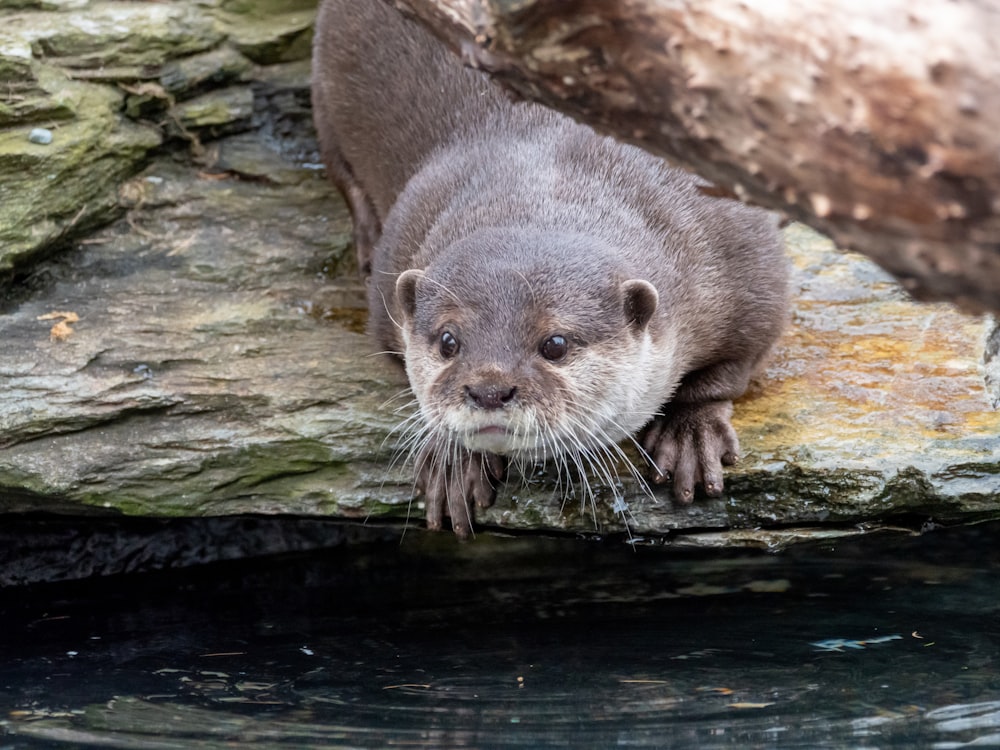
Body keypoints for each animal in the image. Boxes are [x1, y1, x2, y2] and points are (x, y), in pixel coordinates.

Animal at [312, 0, 788, 540]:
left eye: (555, 344)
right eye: (448, 341)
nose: (489, 390)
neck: (556, 176)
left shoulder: (746, 258)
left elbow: (733, 367)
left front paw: (690, 432)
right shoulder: (395, 272)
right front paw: (454, 459)